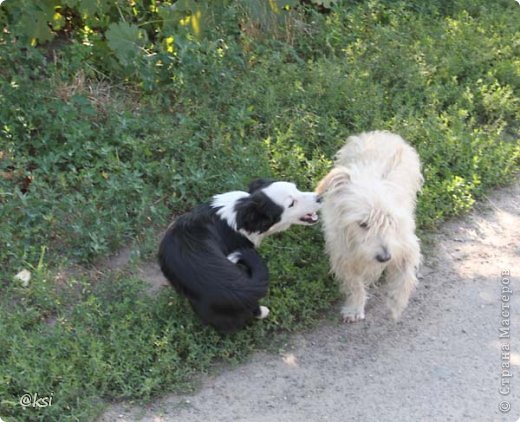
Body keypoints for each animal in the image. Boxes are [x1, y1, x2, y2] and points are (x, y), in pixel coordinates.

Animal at [158, 180, 320, 334]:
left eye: (296, 188)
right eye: (291, 203)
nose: (320, 198)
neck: (240, 212)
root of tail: (237, 286)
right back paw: (262, 312)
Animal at [316, 132, 422, 324]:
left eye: (390, 221)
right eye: (363, 224)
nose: (385, 257)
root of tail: (382, 133)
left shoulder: (406, 245)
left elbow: (405, 276)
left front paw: (396, 303)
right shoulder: (343, 255)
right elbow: (354, 284)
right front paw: (355, 307)